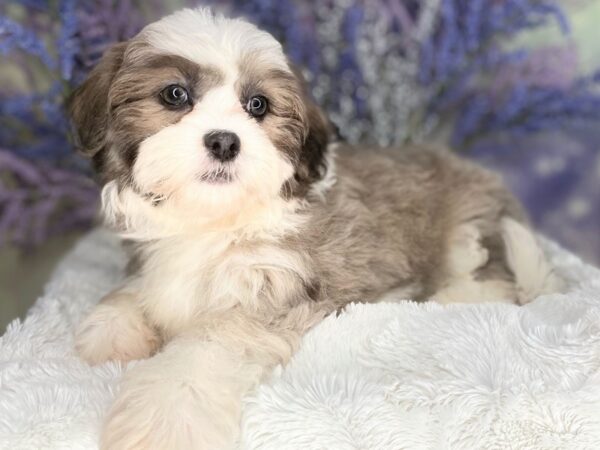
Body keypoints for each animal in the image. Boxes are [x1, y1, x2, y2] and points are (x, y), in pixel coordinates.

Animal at [69, 7, 564, 450]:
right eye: (175, 95)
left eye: (258, 105)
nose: (225, 141)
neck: (217, 220)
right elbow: (134, 290)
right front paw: (112, 329)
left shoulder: (276, 289)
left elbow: (203, 351)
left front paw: (165, 418)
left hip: (470, 232)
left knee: (491, 282)